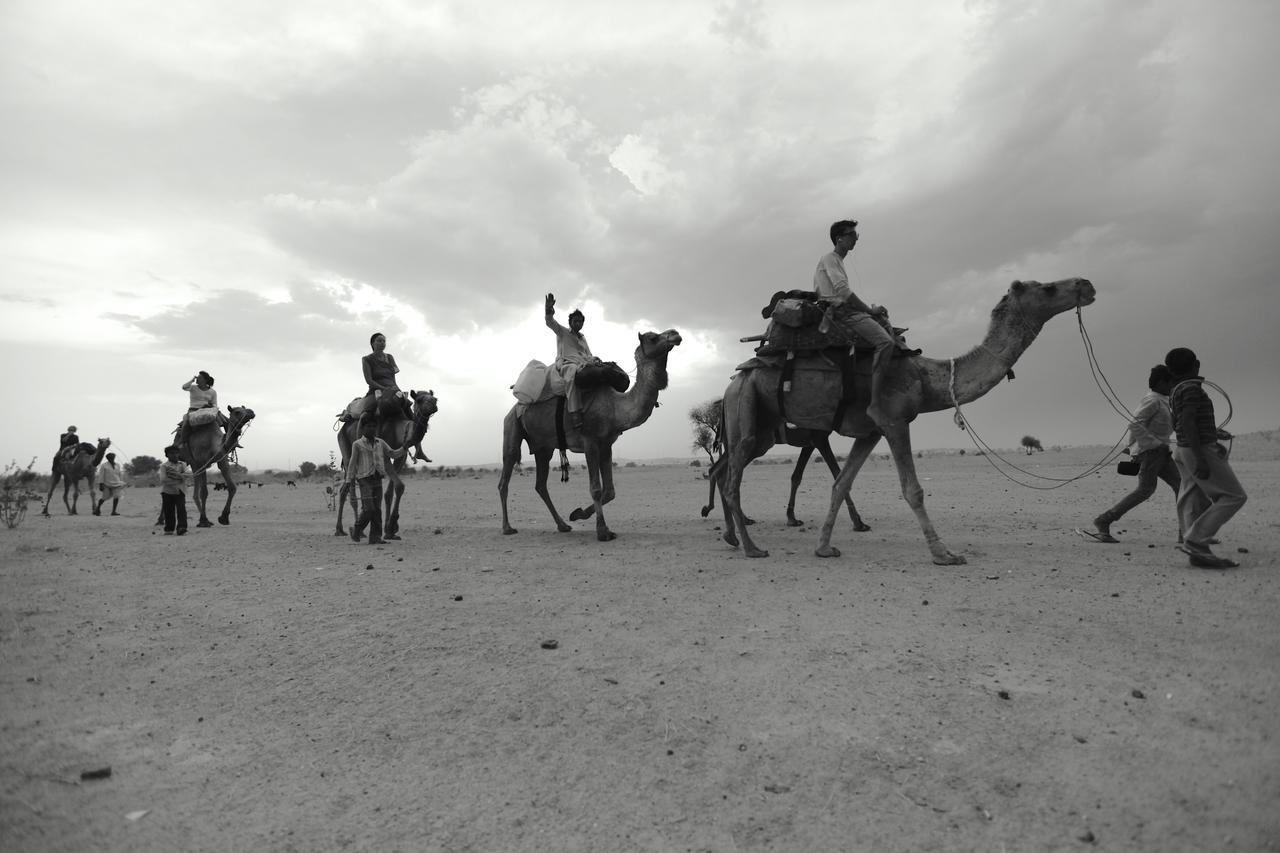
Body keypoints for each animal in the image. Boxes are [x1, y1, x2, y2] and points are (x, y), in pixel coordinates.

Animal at [335, 386, 440, 537]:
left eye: (435, 398)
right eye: (419, 400)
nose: (433, 404)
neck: (398, 430)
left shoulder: (400, 456)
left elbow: (390, 492)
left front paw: (389, 529)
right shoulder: (383, 453)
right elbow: (400, 486)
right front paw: (391, 526)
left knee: (345, 489)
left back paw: (345, 529)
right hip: (346, 446)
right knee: (350, 485)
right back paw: (352, 530)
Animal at [496, 326, 680, 537]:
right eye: (652, 338)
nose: (675, 334)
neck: (615, 406)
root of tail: (515, 407)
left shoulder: (606, 444)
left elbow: (610, 490)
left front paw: (577, 514)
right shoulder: (590, 441)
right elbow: (596, 488)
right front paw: (603, 531)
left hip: (543, 448)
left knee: (540, 485)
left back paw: (563, 525)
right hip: (512, 426)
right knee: (505, 475)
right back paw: (507, 527)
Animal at [721, 275, 1100, 560]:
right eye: (1048, 288)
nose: (1087, 284)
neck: (925, 375)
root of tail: (736, 377)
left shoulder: (870, 432)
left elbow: (841, 483)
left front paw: (825, 547)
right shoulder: (894, 421)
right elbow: (913, 489)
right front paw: (944, 553)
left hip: (763, 423)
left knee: (729, 472)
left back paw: (735, 538)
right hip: (746, 408)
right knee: (730, 478)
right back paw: (750, 547)